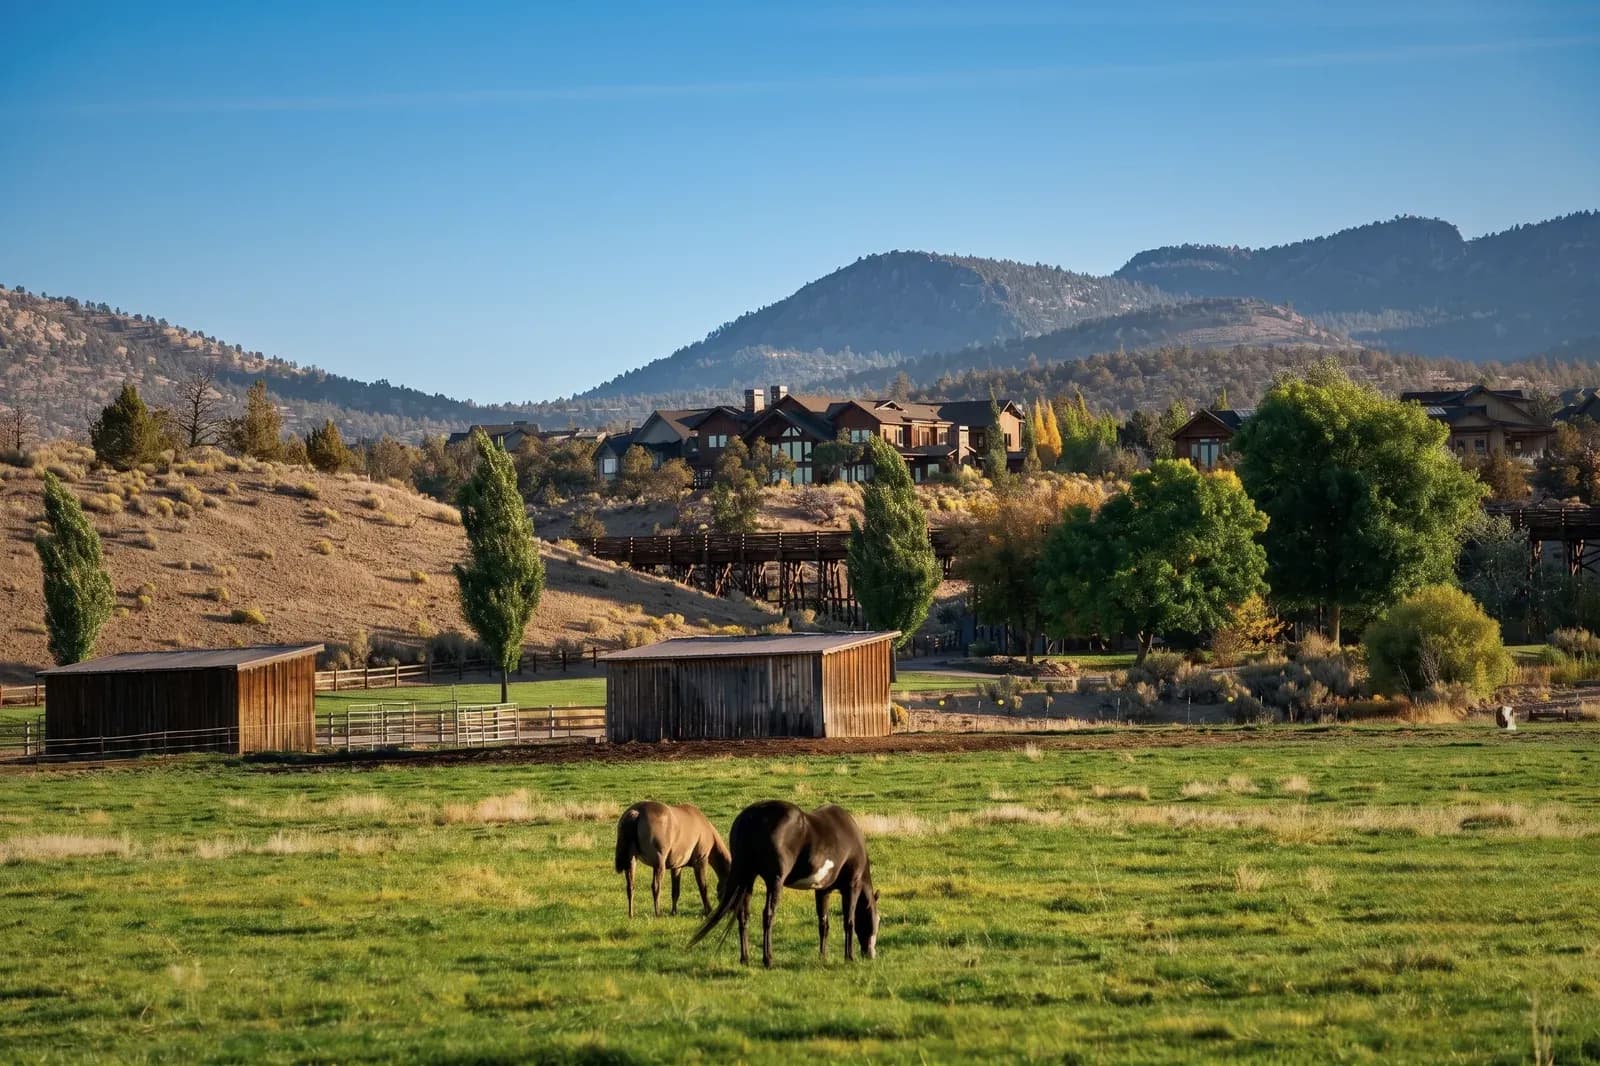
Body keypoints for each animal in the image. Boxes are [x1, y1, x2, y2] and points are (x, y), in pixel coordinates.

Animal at [689, 800, 879, 968]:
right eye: (876, 921)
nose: (870, 954)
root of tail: (751, 817)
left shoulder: (822, 890)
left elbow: (823, 924)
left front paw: (822, 956)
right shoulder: (852, 887)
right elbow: (849, 921)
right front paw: (849, 957)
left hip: (748, 879)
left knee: (743, 915)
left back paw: (745, 959)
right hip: (774, 882)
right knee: (768, 915)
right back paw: (768, 960)